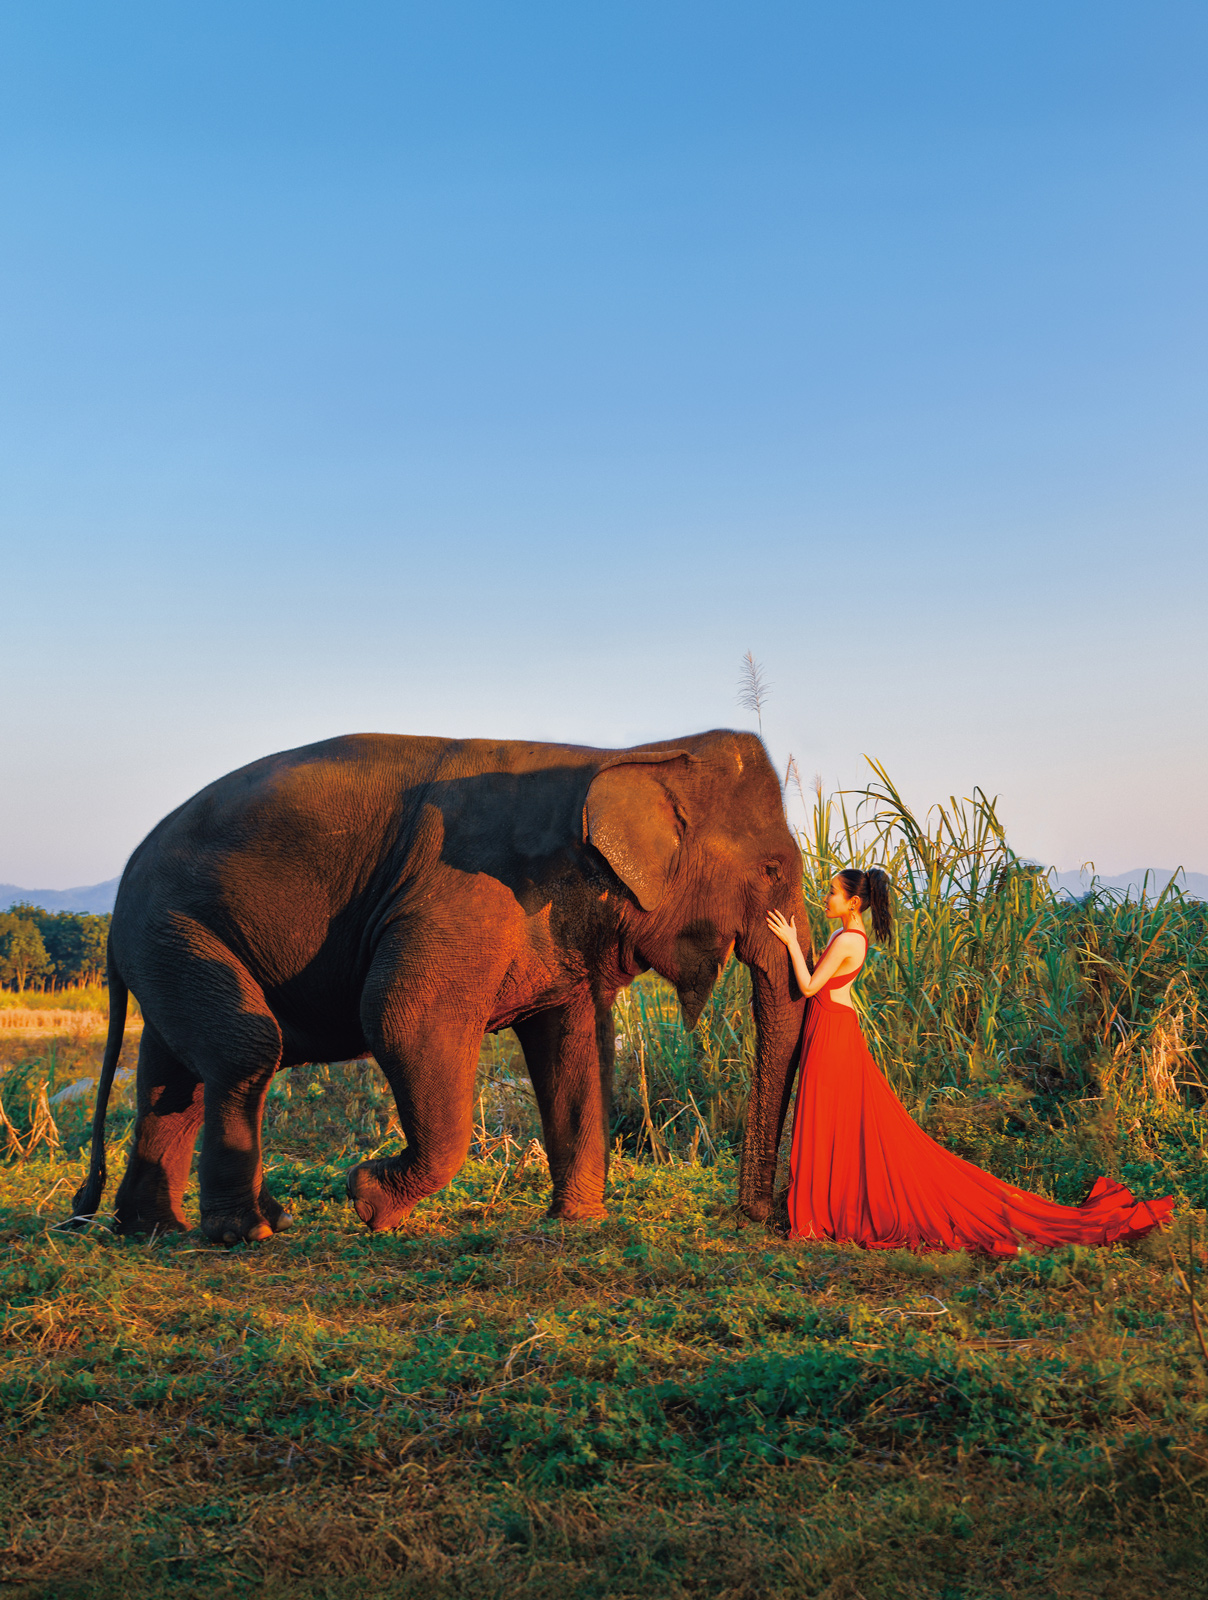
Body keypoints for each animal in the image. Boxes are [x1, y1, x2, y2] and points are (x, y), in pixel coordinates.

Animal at [70, 729, 810, 1243]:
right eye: (774, 868)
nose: (755, 1216)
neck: (637, 754)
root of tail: (121, 886)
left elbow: (575, 1049)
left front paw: (579, 1223)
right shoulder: (462, 897)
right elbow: (402, 1015)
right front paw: (368, 1200)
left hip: (171, 940)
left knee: (175, 1077)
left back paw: (158, 1229)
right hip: (174, 924)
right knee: (245, 1049)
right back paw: (245, 1234)